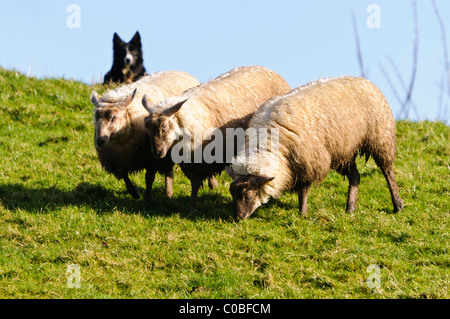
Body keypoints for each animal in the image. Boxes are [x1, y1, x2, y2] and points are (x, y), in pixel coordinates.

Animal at [89, 71, 200, 202]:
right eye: (96, 117)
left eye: (113, 118)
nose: (100, 141)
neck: (121, 141)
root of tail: (181, 72)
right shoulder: (118, 160)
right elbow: (124, 176)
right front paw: (134, 192)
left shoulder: (151, 158)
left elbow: (149, 178)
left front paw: (147, 198)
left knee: (168, 172)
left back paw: (168, 194)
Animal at [142, 65, 294, 210]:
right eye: (147, 127)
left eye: (163, 127)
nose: (157, 153)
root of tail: (269, 69)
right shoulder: (192, 162)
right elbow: (194, 183)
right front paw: (192, 205)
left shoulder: (200, 159)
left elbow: (196, 184)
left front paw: (191, 208)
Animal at [227, 75, 406, 220]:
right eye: (232, 194)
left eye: (247, 195)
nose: (238, 218)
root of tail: (365, 80)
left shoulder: (309, 162)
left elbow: (303, 190)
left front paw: (302, 213)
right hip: (343, 150)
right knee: (355, 176)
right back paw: (350, 208)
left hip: (380, 137)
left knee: (387, 171)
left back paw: (397, 204)